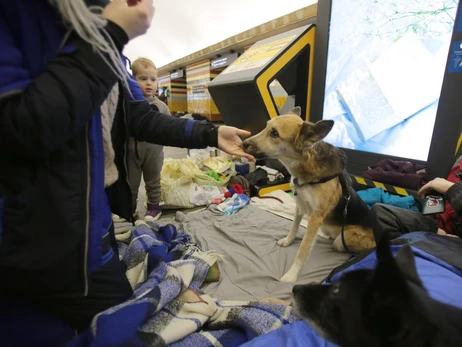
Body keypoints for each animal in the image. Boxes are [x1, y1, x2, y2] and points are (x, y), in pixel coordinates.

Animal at [242, 108, 376, 282]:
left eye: (275, 134)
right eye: (266, 127)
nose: (243, 143)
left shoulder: (315, 218)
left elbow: (303, 249)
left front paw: (291, 275)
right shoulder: (299, 205)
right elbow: (294, 227)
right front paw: (288, 241)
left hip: (343, 240)